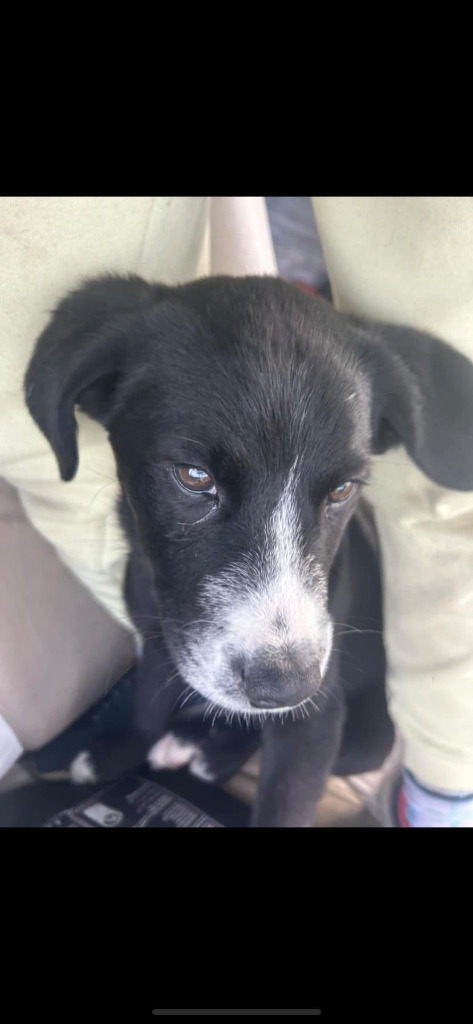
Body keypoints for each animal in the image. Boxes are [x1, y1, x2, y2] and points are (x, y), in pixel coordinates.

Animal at [24, 272, 473, 823]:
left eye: (343, 490)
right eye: (194, 477)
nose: (283, 687)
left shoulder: (316, 717)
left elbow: (285, 795)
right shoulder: (158, 633)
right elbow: (149, 698)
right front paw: (122, 751)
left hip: (366, 743)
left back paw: (207, 750)